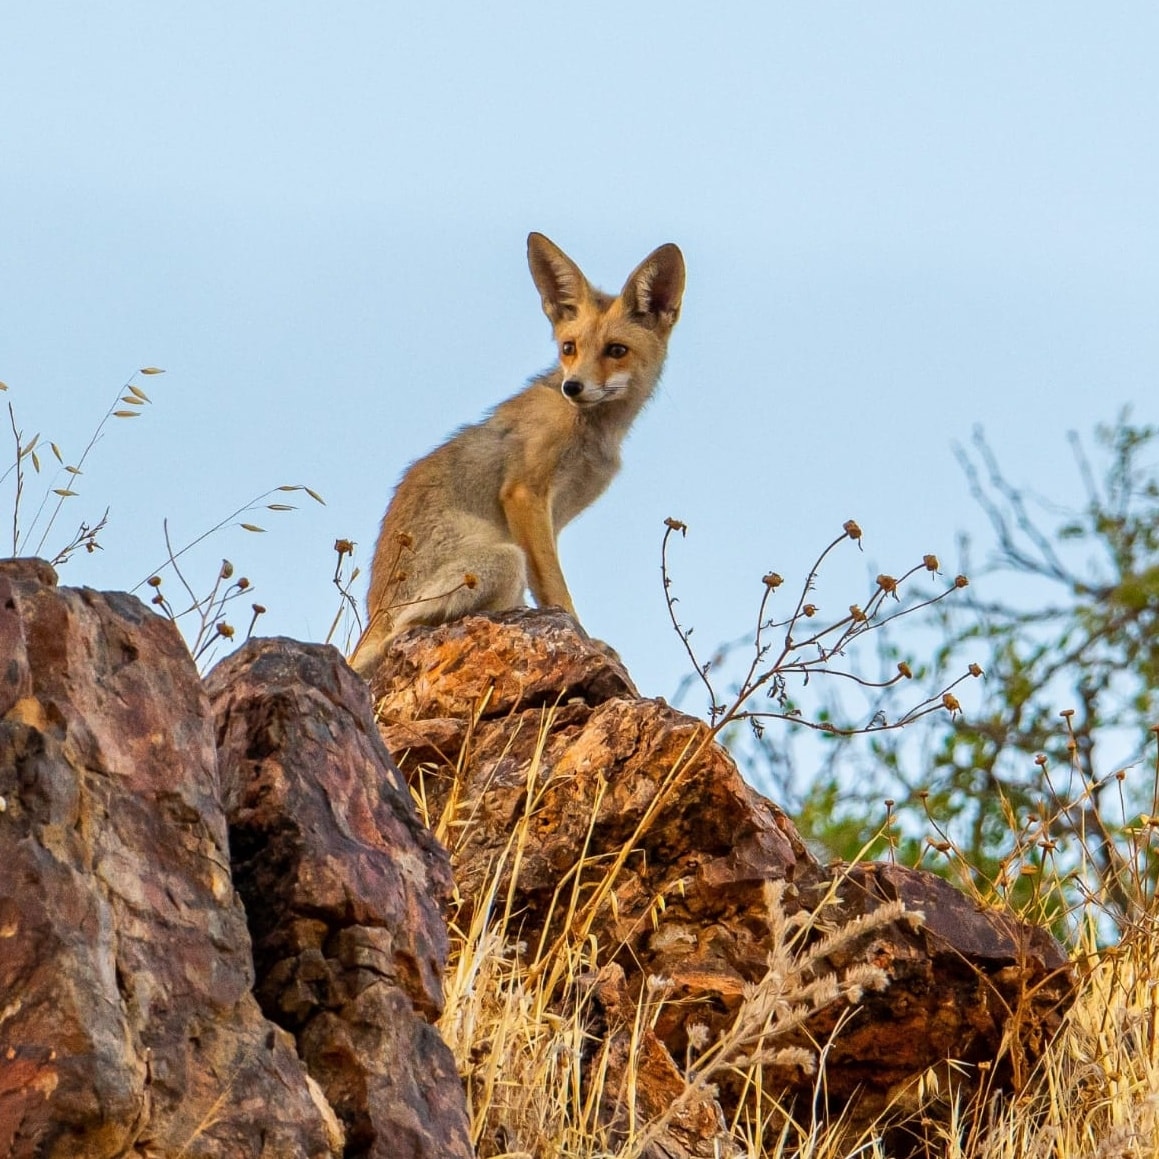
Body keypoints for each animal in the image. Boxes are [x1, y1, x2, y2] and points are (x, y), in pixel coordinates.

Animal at [347, 229, 681, 676]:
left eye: (616, 350)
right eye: (569, 348)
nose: (572, 387)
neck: (593, 432)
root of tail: (374, 612)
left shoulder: (550, 517)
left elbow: (548, 585)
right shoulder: (524, 494)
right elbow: (557, 590)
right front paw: (584, 638)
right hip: (504, 560)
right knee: (405, 631)